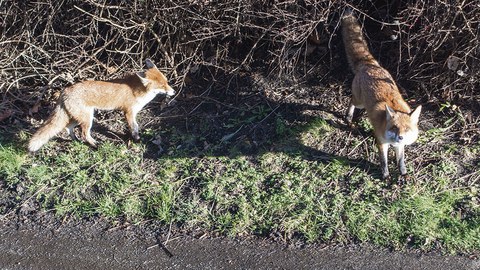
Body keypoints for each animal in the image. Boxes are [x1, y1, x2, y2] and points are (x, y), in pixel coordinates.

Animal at [27, 58, 174, 152]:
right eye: (162, 86)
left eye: (167, 82)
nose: (173, 91)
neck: (138, 91)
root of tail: (64, 91)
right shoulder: (128, 112)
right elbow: (134, 127)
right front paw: (136, 139)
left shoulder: (133, 113)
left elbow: (135, 126)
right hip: (88, 118)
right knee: (84, 133)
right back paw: (95, 145)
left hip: (79, 117)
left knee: (68, 128)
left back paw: (76, 140)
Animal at [340, 10, 422, 180]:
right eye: (395, 128)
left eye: (406, 129)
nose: (400, 137)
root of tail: (370, 65)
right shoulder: (381, 142)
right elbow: (384, 161)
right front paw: (385, 176)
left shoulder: (399, 146)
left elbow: (400, 160)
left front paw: (403, 174)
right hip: (359, 102)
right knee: (351, 101)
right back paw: (349, 117)